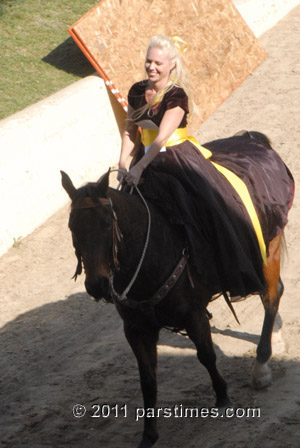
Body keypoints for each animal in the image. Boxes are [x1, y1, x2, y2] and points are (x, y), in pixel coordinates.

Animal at [60, 131, 292, 446]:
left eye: (108, 224)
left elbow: (206, 355)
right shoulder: (136, 330)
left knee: (271, 295)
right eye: (73, 227)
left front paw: (222, 398)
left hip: (268, 250)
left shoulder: (193, 314)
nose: (97, 284)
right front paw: (149, 434)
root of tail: (251, 138)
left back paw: (261, 367)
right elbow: (147, 380)